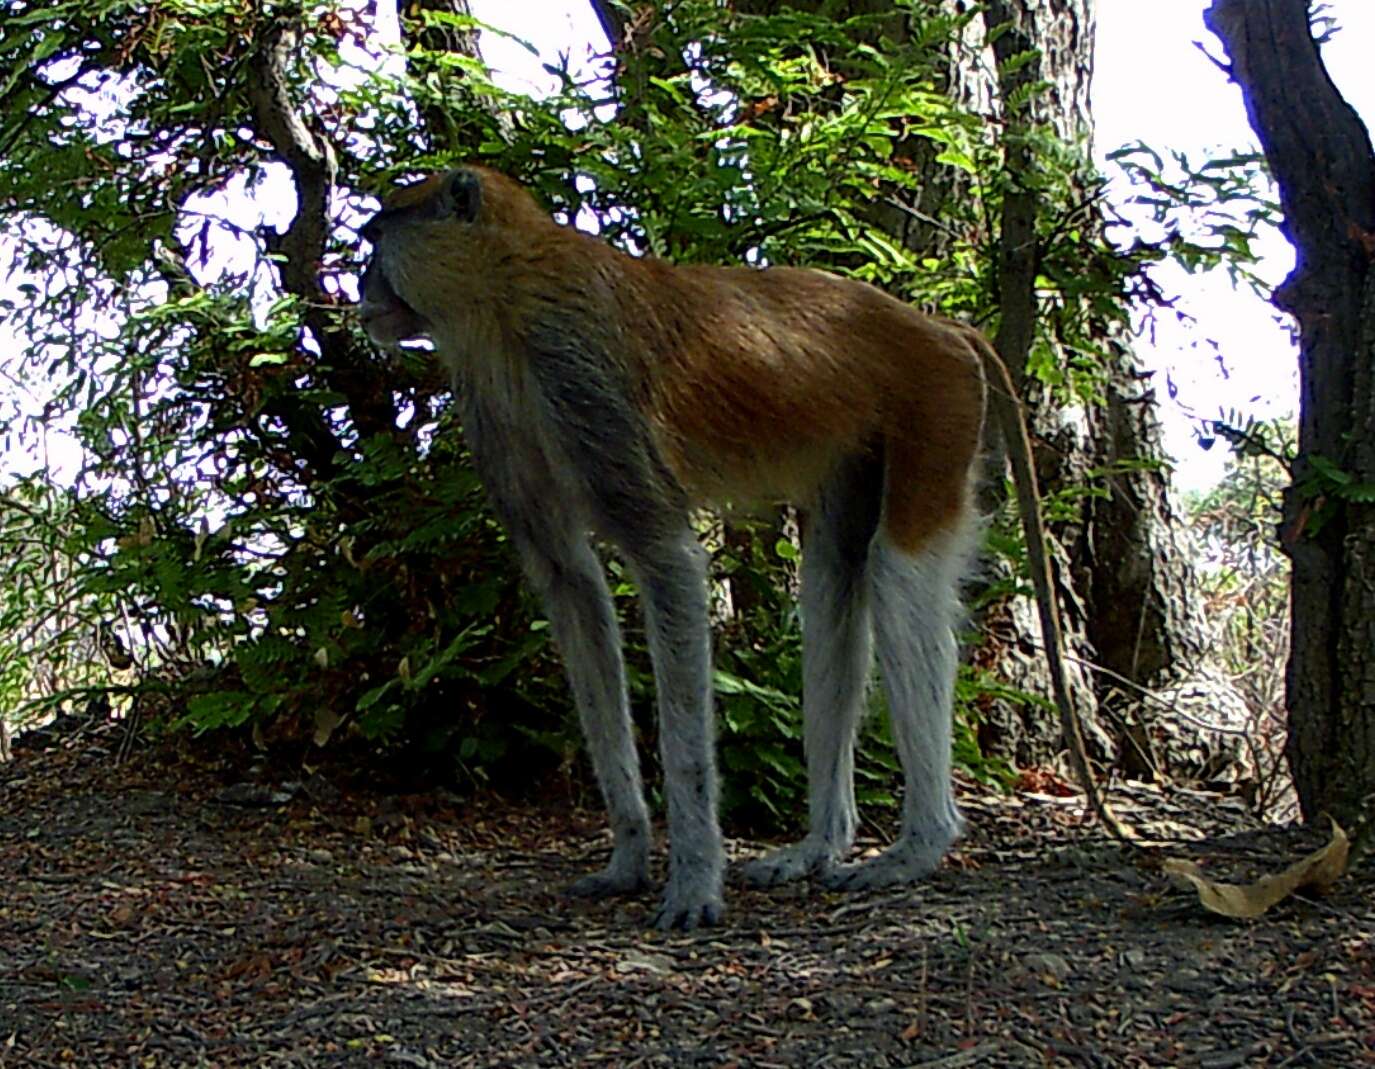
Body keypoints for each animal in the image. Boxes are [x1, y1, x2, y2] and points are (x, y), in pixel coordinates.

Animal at [363, 164, 1083, 924]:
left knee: (895, 574)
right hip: (864, 440)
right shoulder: (497, 413)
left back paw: (919, 845)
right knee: (833, 584)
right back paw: (819, 845)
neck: (505, 291)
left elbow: (668, 563)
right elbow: (572, 587)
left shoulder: (579, 376)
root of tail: (937, 327)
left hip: (934, 410)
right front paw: (626, 856)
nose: (361, 287)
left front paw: (693, 881)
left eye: (377, 236)